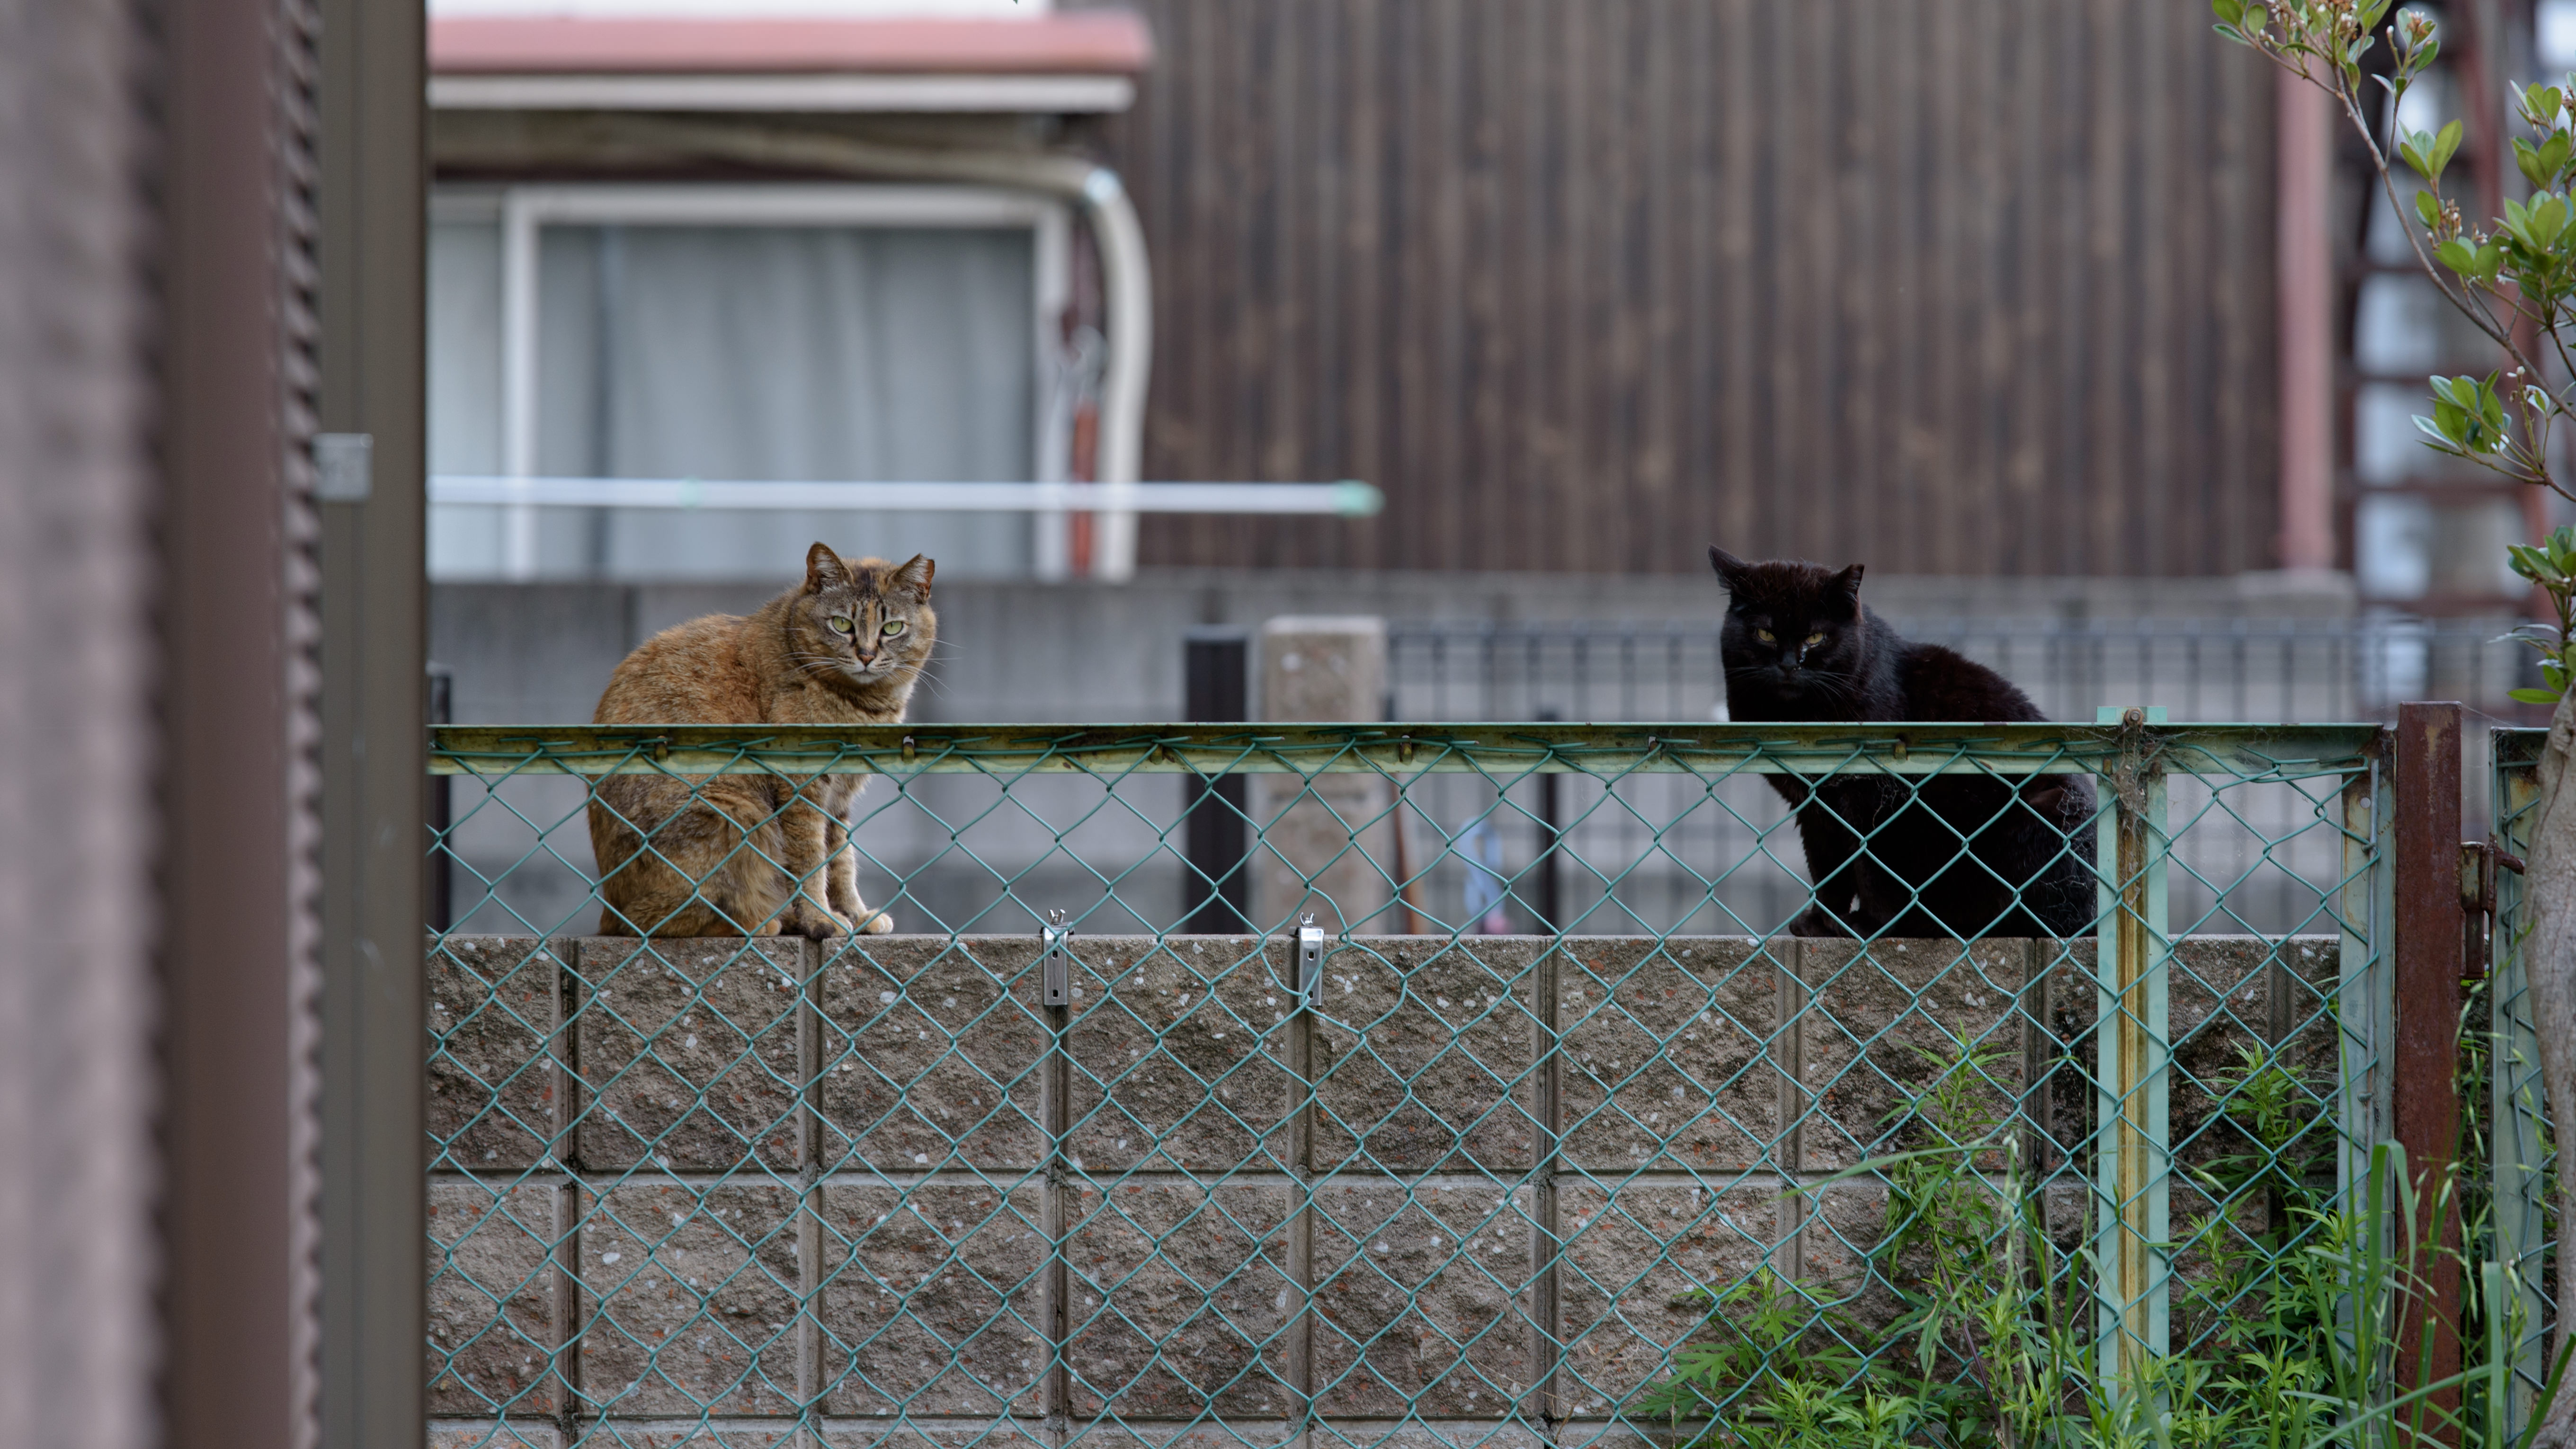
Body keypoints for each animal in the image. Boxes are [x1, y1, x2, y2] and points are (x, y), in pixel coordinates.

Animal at [589, 544, 935, 938]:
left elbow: (842, 859)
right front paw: (820, 917)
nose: (866, 655)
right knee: (654, 919)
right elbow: (810, 860)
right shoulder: (803, 788)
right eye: (841, 624)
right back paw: (763, 920)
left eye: (892, 627)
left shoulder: (839, 798)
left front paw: (857, 914)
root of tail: (608, 909)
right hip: (737, 812)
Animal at [1709, 546, 2097, 939]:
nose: (1790, 665)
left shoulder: (1878, 797)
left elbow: (1872, 867)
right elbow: (1826, 867)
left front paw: (1870, 925)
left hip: (2050, 808)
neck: (1800, 722)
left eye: (1816, 637)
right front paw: (1821, 922)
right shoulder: (1813, 805)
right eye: (1765, 634)